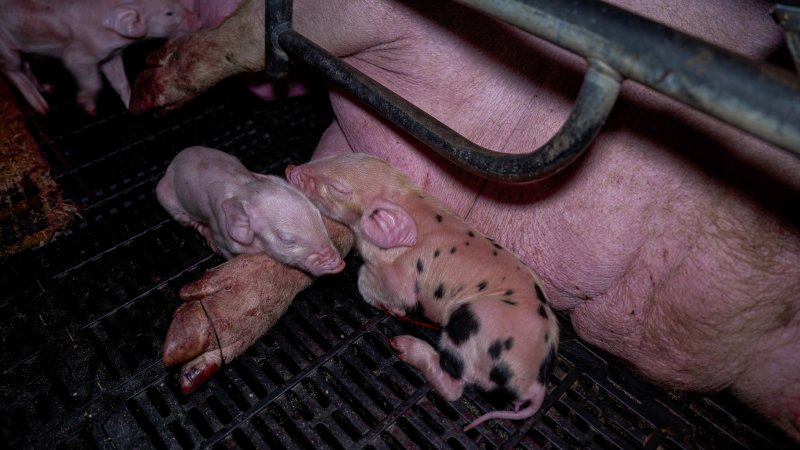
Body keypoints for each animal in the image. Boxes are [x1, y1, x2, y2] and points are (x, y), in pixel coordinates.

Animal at [0, 0, 200, 114]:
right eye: (169, 13)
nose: (197, 18)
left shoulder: (111, 56)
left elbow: (120, 82)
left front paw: (131, 105)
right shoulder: (76, 57)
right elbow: (93, 80)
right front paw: (89, 109)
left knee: (25, 65)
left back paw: (48, 88)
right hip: (5, 49)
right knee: (12, 71)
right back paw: (43, 109)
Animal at [157, 146, 344, 276]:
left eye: (318, 216)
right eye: (287, 240)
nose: (340, 264)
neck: (245, 189)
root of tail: (176, 159)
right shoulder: (223, 237)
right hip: (167, 199)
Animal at [290, 154, 564, 428]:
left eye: (338, 188)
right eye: (334, 157)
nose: (291, 168)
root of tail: (537, 383)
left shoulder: (402, 277)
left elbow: (370, 282)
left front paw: (393, 308)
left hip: (473, 323)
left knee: (454, 387)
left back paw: (402, 346)